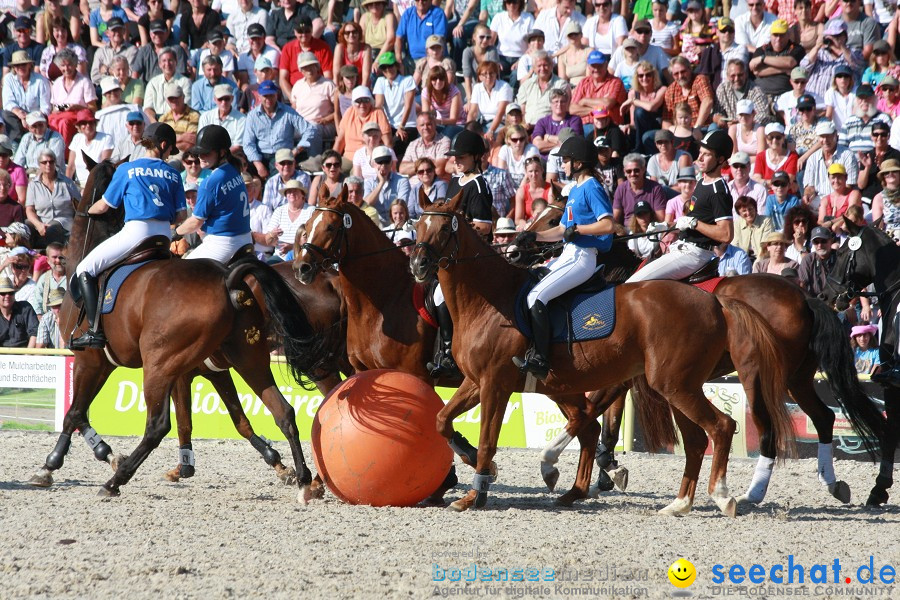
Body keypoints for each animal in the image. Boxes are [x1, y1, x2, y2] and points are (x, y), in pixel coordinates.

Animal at [30, 158, 338, 502]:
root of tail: (228, 279)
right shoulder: (195, 371)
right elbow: (227, 420)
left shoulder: (91, 361)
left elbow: (75, 413)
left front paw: (54, 465)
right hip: (248, 359)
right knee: (284, 411)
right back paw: (305, 480)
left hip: (158, 366)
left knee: (156, 426)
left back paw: (115, 481)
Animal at [524, 197, 884, 506]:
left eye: (554, 220)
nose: (520, 245)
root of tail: (805, 299)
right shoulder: (624, 373)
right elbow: (608, 421)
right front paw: (608, 470)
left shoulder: (624, 374)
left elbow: (594, 411)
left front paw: (576, 466)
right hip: (798, 378)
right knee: (823, 417)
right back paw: (832, 483)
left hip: (759, 378)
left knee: (767, 428)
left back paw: (752, 493)